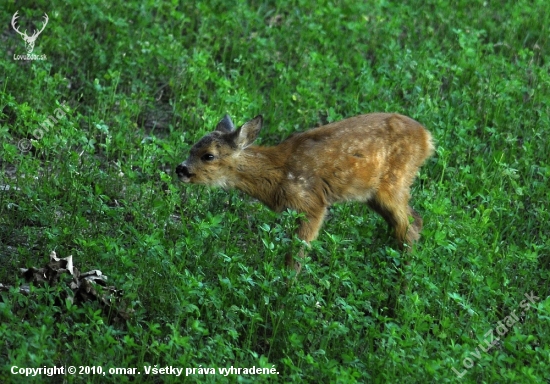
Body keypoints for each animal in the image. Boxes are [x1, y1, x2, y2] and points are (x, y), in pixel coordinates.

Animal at [177, 114, 436, 272]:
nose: (181, 169)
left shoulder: (312, 203)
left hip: (395, 183)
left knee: (410, 227)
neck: (278, 175)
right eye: (192, 147)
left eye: (208, 155)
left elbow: (297, 254)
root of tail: (427, 138)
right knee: (411, 222)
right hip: (374, 195)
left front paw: (286, 289)